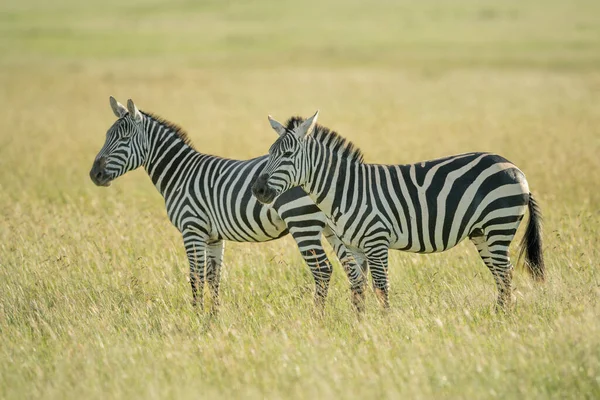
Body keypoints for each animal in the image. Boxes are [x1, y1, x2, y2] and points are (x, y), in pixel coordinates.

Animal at [88, 98, 360, 314]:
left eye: (124, 139)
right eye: (106, 136)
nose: (94, 175)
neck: (180, 174)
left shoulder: (192, 229)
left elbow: (196, 277)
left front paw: (196, 317)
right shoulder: (213, 237)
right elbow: (213, 277)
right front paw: (213, 316)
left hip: (302, 222)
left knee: (323, 270)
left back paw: (318, 318)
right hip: (332, 228)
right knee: (352, 270)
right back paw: (355, 316)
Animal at [251, 111, 548, 310]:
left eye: (287, 155)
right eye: (269, 152)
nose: (258, 190)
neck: (346, 189)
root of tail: (515, 168)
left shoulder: (377, 242)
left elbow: (381, 288)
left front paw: (385, 327)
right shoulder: (356, 246)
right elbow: (358, 285)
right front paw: (359, 327)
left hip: (499, 224)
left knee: (505, 271)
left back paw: (504, 317)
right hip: (482, 233)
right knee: (501, 273)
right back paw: (498, 315)